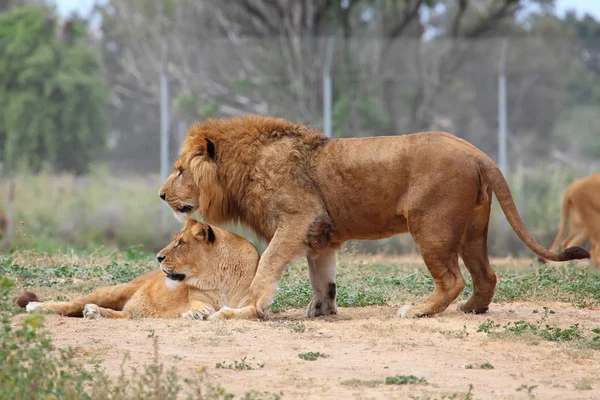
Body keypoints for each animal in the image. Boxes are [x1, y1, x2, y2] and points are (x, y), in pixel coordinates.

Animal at [18, 219, 258, 322]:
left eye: (181, 243)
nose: (158, 257)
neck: (221, 278)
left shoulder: (255, 306)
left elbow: (244, 312)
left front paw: (219, 313)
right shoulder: (198, 297)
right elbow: (200, 305)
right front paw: (196, 313)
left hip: (131, 309)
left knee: (124, 314)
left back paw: (94, 312)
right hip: (113, 291)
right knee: (69, 305)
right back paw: (36, 307)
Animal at [158, 115, 592, 318]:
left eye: (179, 170)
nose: (161, 195)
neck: (241, 170)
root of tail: (479, 153)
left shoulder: (298, 219)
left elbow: (265, 268)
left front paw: (247, 308)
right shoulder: (319, 234)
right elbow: (323, 278)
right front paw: (322, 311)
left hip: (430, 225)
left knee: (452, 279)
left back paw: (418, 310)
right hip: (472, 229)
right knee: (486, 276)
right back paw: (471, 308)